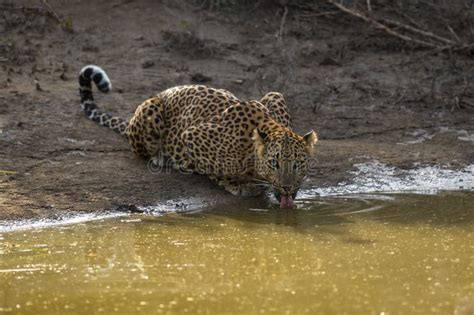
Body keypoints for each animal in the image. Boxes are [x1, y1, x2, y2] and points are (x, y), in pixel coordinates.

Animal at [78, 65, 316, 209]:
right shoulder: (192, 136)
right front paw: (237, 184)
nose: (287, 188)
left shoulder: (275, 96)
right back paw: (161, 159)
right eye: (274, 164)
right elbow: (218, 167)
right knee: (140, 151)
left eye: (298, 165)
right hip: (151, 108)